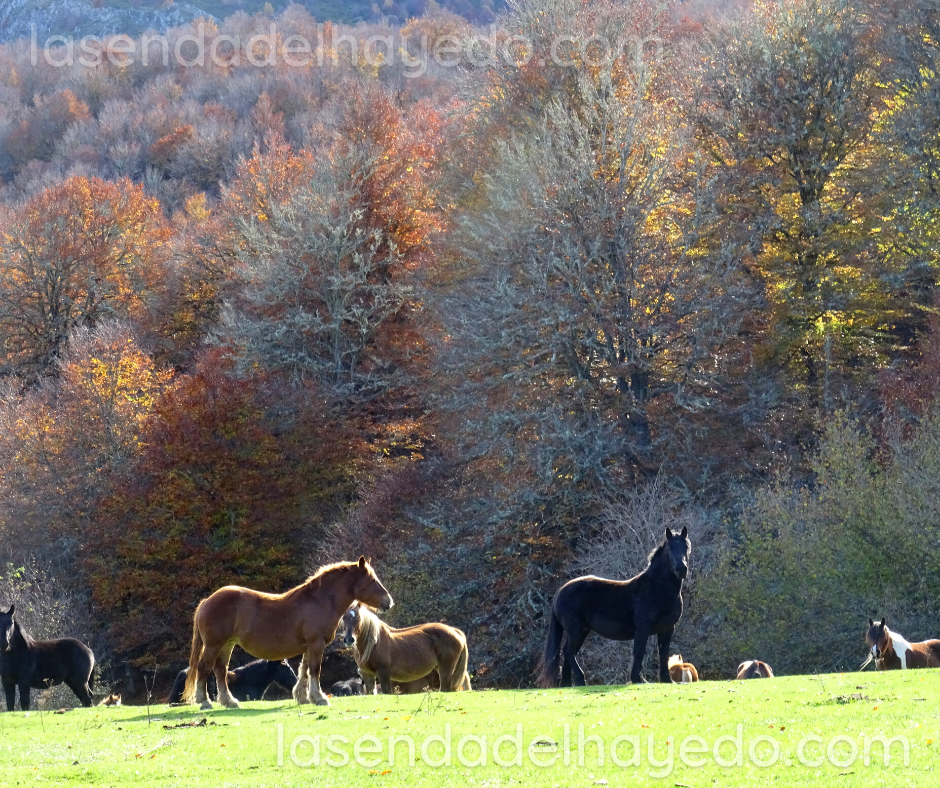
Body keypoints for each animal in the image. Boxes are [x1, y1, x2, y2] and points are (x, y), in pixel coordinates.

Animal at [182, 556, 393, 709]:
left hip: (227, 645)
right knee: (204, 668)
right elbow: (314, 670)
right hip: (213, 645)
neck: (319, 601)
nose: (389, 602)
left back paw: (229, 702)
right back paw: (205, 702)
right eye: (372, 580)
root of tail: (207, 601)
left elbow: (304, 670)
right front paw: (320, 698)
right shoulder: (316, 643)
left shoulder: (310, 646)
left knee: (220, 670)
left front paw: (304, 697)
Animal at [341, 603, 471, 694]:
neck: (373, 643)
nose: (349, 639)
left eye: (358, 617)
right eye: (343, 617)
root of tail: (455, 631)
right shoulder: (367, 674)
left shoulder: (383, 673)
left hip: (446, 668)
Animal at [538, 526, 691, 687]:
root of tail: (561, 591)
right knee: (568, 651)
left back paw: (568, 684)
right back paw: (580, 679)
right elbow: (639, 652)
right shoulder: (642, 629)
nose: (681, 569)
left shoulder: (667, 629)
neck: (657, 589)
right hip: (575, 631)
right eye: (670, 548)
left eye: (686, 547)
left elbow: (664, 653)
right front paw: (638, 679)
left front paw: (666, 679)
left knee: (569, 653)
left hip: (582, 631)